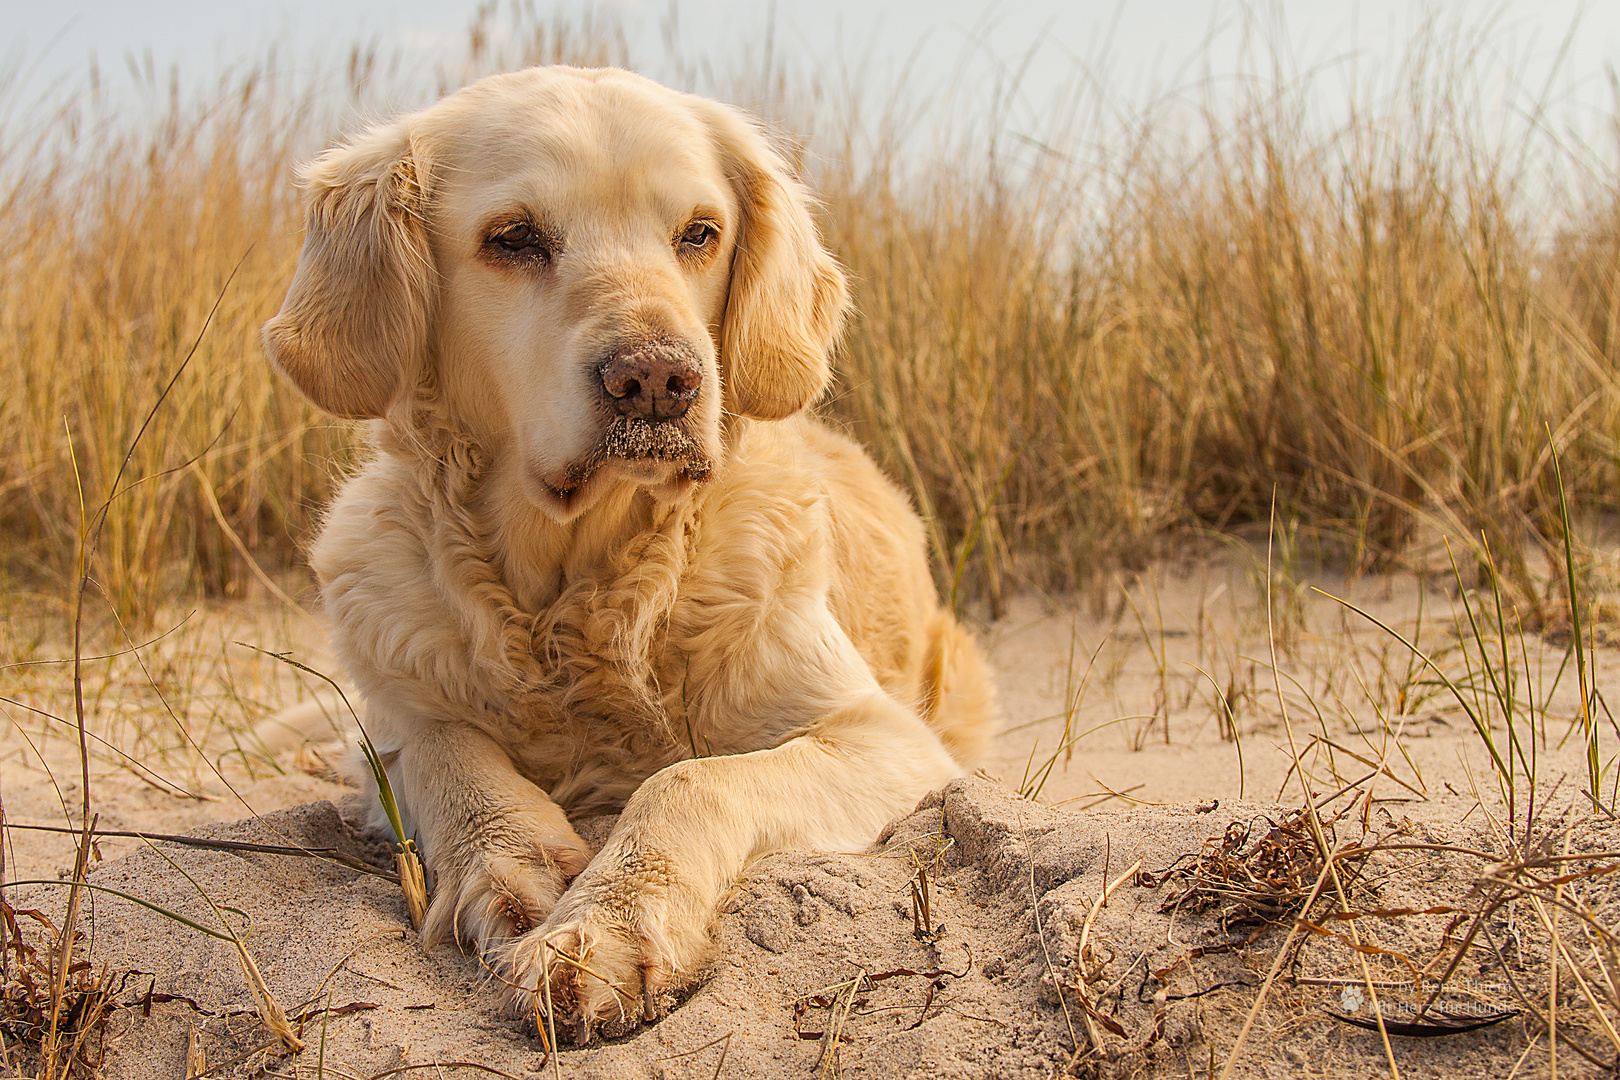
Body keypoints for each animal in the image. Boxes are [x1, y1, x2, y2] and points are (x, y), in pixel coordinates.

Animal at [260, 65, 991, 1036]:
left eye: (700, 233)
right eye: (513, 238)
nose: (657, 379)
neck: (581, 590)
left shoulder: (884, 738)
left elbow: (692, 782)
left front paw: (604, 931)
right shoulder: (398, 712)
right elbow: (446, 752)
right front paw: (510, 862)